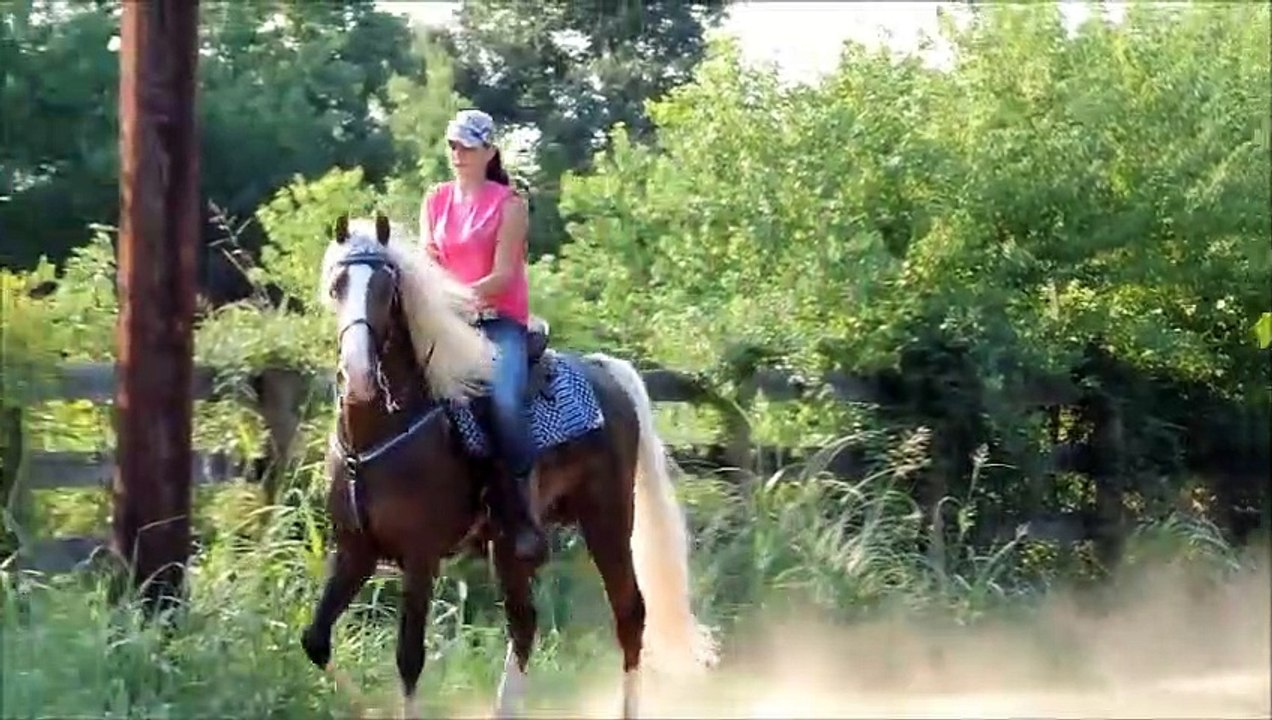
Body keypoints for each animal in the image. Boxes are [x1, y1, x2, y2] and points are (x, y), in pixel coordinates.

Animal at [299, 214, 718, 719]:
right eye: (337, 284)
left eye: (386, 288)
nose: (359, 373)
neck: (381, 434)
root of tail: (605, 371)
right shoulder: (354, 551)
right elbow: (315, 640)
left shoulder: (420, 558)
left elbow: (408, 658)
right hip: (509, 545)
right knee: (524, 623)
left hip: (609, 518)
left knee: (629, 613)